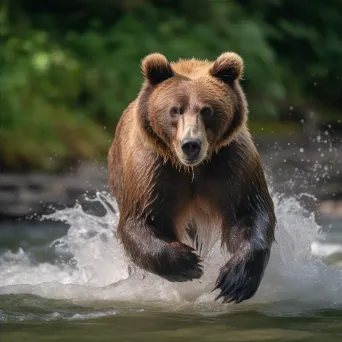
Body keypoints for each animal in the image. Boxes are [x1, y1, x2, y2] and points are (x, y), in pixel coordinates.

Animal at [108, 52, 276, 304]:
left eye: (206, 110)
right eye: (175, 110)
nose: (191, 145)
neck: (193, 170)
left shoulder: (232, 165)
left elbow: (248, 212)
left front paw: (235, 281)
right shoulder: (153, 171)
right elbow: (141, 221)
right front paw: (188, 263)